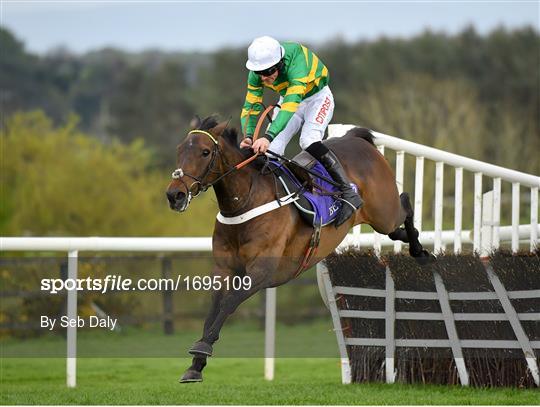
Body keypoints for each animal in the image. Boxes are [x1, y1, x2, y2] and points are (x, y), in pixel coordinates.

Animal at [165, 116, 430, 384]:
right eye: (179, 150)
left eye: (205, 152)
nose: (175, 195)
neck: (246, 202)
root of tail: (355, 138)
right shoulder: (223, 269)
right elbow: (213, 308)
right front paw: (196, 364)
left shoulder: (261, 272)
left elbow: (228, 303)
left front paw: (202, 349)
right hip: (381, 220)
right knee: (397, 229)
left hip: (384, 213)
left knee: (406, 202)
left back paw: (419, 250)